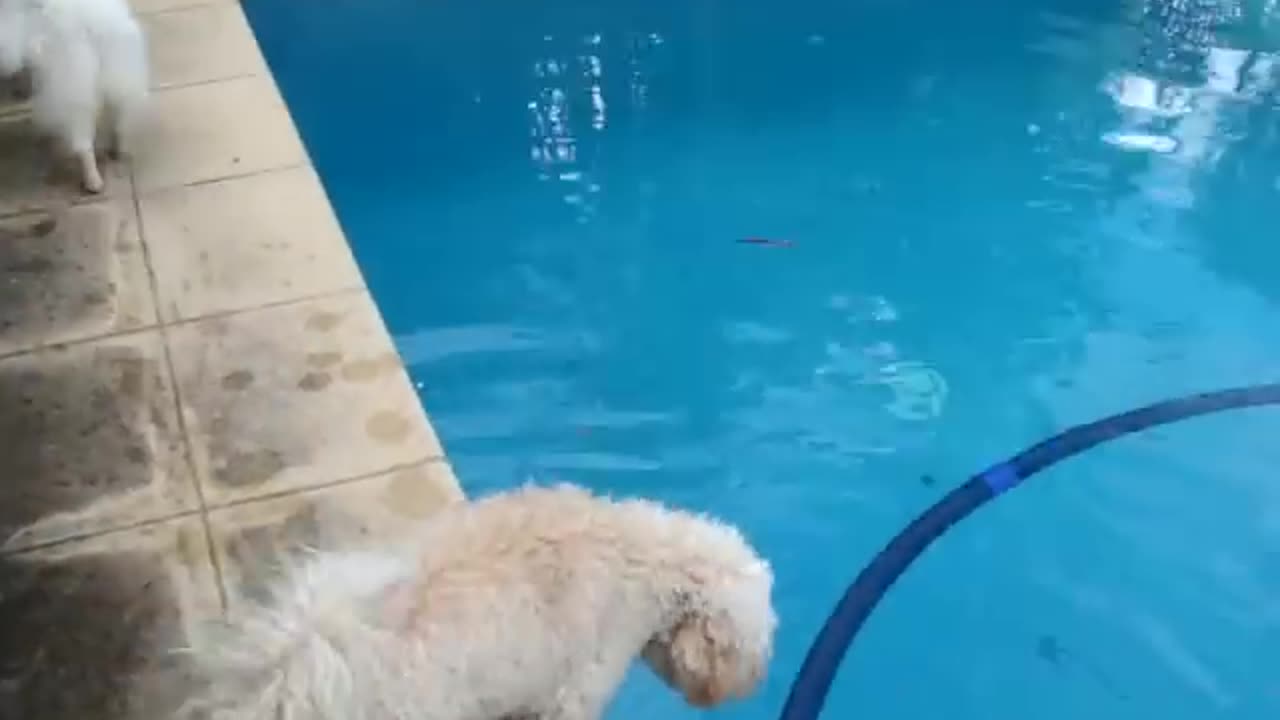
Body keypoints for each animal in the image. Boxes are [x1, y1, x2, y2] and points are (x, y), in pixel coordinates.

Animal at [0, 0, 147, 192]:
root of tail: (89, 23)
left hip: (70, 90)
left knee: (83, 144)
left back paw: (93, 181)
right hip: (119, 73)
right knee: (118, 119)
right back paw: (115, 150)